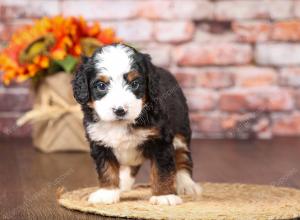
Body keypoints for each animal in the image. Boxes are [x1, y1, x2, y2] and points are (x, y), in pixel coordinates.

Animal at [72, 43, 202, 206]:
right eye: (101, 85)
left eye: (135, 84)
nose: (120, 110)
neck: (120, 124)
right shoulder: (99, 141)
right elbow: (106, 167)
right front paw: (107, 192)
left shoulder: (160, 140)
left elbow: (162, 169)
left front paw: (164, 195)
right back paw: (123, 183)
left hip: (181, 130)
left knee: (183, 156)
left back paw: (186, 184)